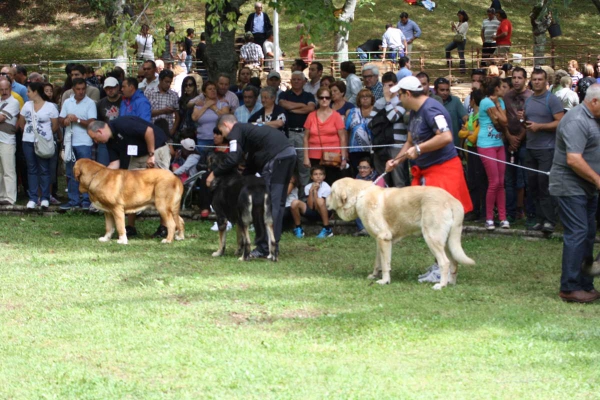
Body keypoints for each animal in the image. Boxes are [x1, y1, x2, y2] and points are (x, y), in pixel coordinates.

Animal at [326, 177, 476, 288]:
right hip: (447, 243)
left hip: (432, 238)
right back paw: (451, 283)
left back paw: (441, 285)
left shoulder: (384, 238)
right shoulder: (379, 241)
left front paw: (384, 281)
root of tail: (452, 200)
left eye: (331, 192)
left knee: (444, 262)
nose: (324, 199)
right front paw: (374, 275)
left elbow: (385, 265)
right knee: (454, 263)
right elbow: (378, 262)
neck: (359, 195)